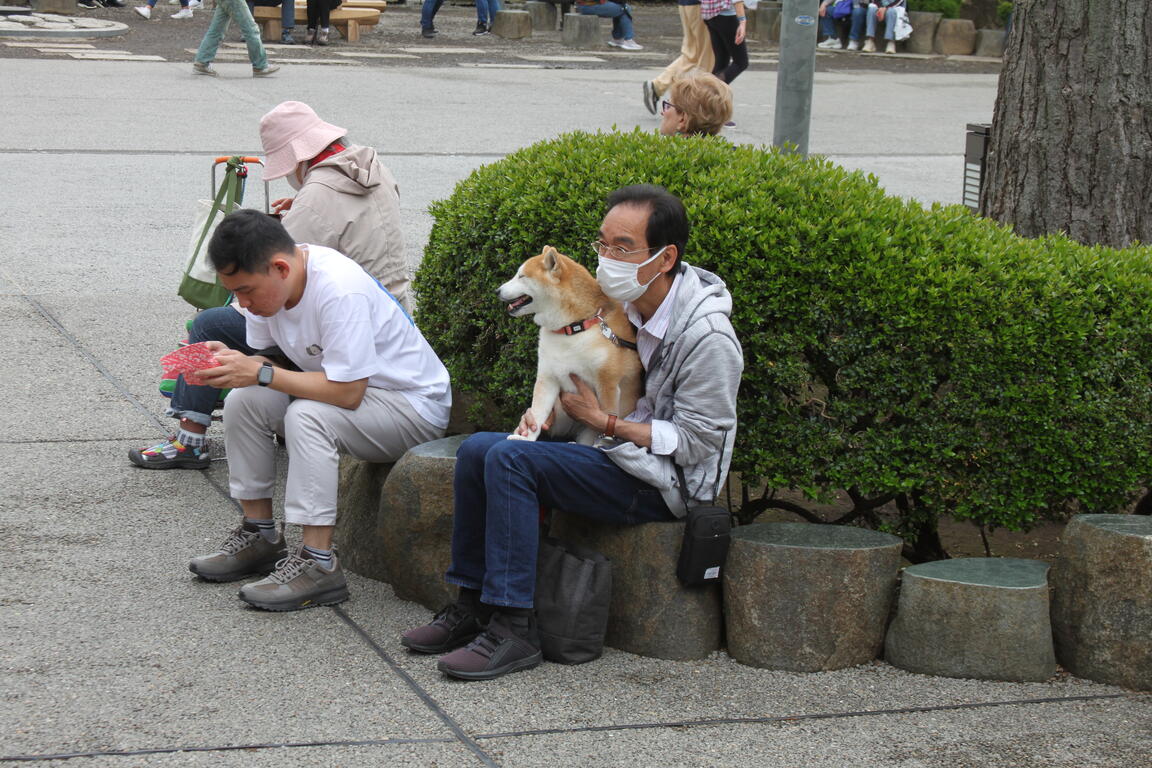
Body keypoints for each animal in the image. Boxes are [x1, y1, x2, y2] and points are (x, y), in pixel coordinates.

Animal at [497, 246, 649, 444]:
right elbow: (537, 414)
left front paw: (602, 447)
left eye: (521, 276)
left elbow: (607, 420)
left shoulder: (607, 382)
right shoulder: (548, 377)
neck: (573, 328)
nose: (496, 291)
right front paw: (526, 438)